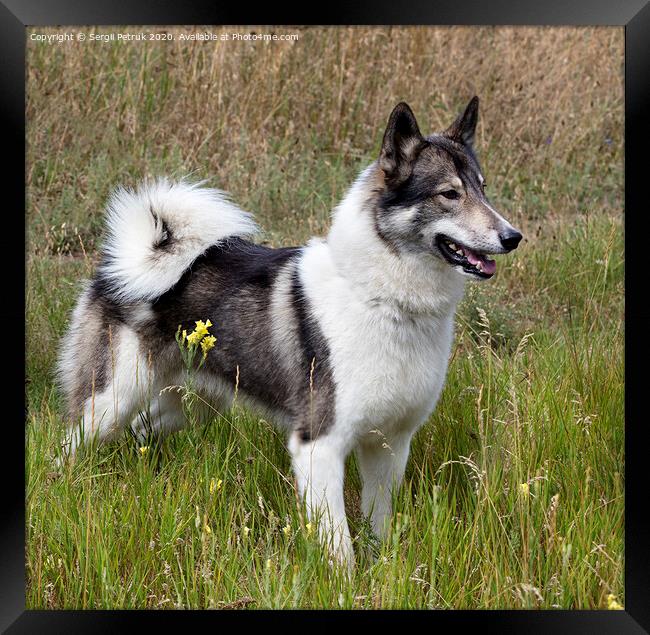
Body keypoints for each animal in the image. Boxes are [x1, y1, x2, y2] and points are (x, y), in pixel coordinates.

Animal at [55, 98, 520, 568]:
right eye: (449, 194)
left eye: (483, 189)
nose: (513, 237)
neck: (383, 301)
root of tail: (120, 262)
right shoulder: (318, 446)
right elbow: (339, 543)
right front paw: (345, 580)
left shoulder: (389, 445)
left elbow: (379, 523)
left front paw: (383, 569)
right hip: (109, 401)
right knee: (69, 445)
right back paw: (63, 486)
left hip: (191, 406)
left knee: (143, 429)